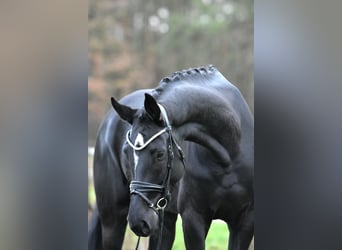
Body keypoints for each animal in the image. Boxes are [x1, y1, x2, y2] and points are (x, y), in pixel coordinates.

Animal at [88, 65, 254, 249]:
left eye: (160, 154)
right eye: (126, 152)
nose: (138, 221)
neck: (228, 156)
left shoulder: (245, 221)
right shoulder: (193, 218)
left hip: (162, 219)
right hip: (113, 219)